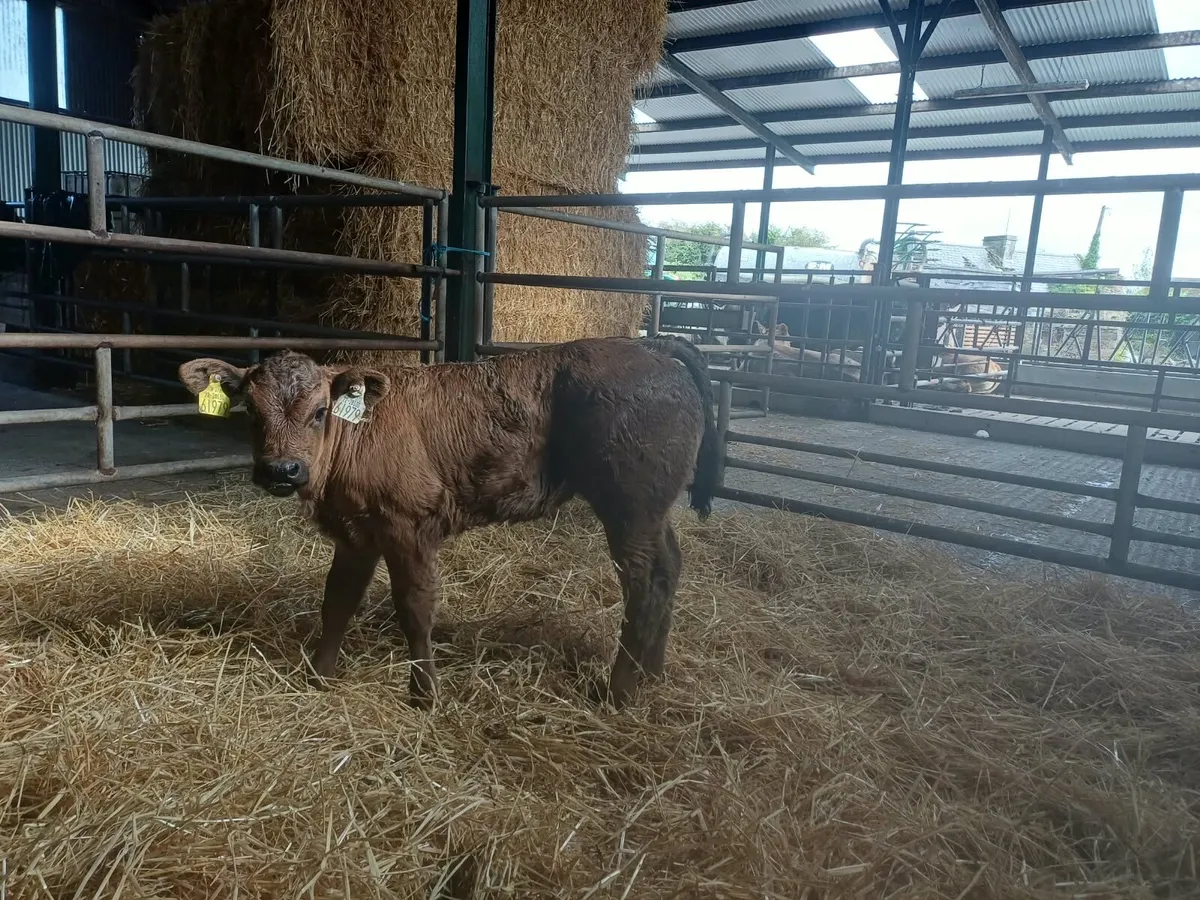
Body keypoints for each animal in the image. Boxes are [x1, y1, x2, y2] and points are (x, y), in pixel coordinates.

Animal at [178, 336, 719, 710]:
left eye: (319, 412)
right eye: (251, 413)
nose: (282, 470)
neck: (358, 433)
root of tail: (650, 346)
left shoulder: (408, 529)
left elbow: (415, 609)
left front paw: (424, 694)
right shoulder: (356, 534)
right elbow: (338, 602)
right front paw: (320, 675)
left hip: (630, 510)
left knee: (644, 584)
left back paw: (620, 691)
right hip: (652, 513)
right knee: (670, 567)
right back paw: (653, 674)